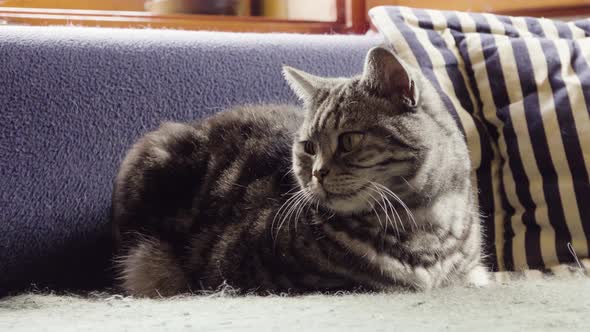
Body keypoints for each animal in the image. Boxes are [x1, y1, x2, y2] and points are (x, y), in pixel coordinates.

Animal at [111, 46, 490, 296]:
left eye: (349, 140)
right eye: (308, 147)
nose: (316, 173)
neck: (427, 226)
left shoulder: (472, 268)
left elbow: (476, 275)